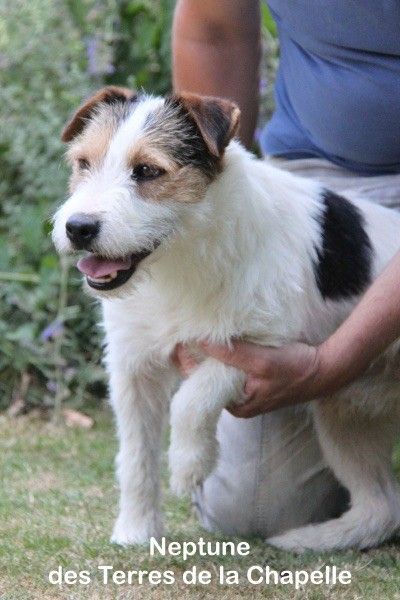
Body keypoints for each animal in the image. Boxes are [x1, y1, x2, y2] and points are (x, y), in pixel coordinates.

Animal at [52, 86, 400, 552]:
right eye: (84, 163)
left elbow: (192, 396)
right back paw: (312, 539)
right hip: (347, 412)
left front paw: (188, 465)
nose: (78, 228)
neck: (180, 261)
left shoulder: (268, 348)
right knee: (380, 505)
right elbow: (135, 456)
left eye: (147, 170)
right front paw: (137, 530)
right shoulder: (133, 369)